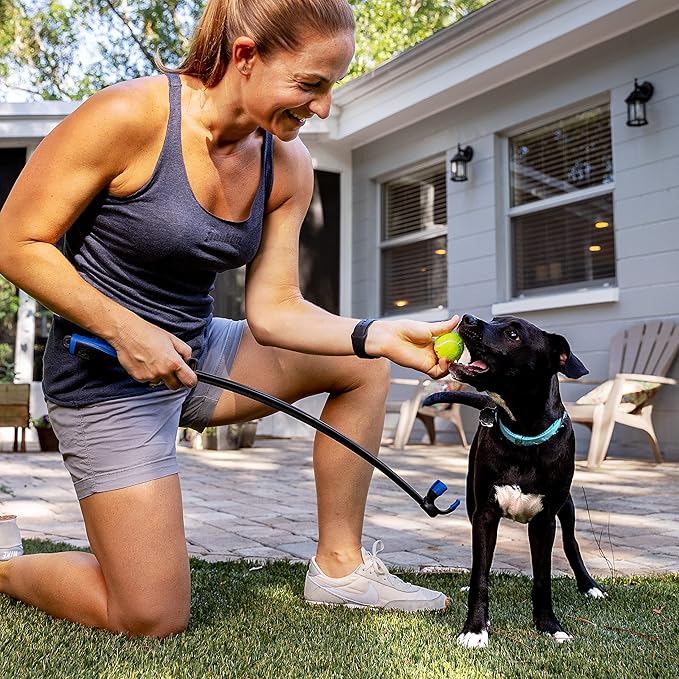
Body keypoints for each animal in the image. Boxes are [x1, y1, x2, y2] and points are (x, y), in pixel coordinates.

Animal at [424, 314, 604, 648]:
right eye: (495, 321)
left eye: (512, 334)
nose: (468, 318)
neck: (523, 433)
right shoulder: (484, 514)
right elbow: (480, 573)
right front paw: (475, 628)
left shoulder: (545, 521)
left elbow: (544, 578)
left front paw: (549, 625)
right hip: (473, 504)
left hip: (567, 505)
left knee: (571, 542)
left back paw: (589, 586)